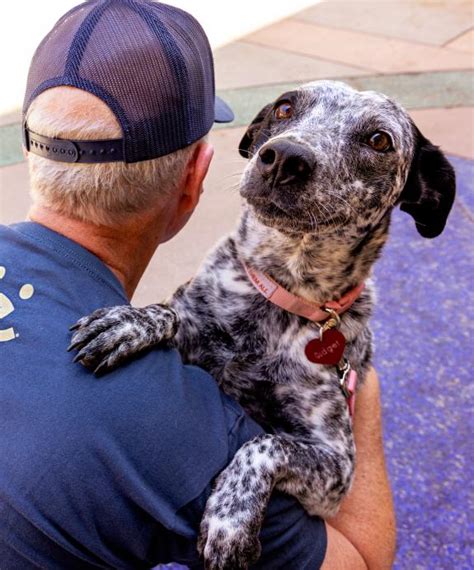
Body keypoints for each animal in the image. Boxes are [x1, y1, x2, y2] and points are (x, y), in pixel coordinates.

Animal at [70, 81, 456, 568]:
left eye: (379, 140)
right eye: (285, 107)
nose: (285, 157)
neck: (281, 293)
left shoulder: (336, 469)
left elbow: (264, 445)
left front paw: (230, 519)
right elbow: (173, 311)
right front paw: (130, 321)